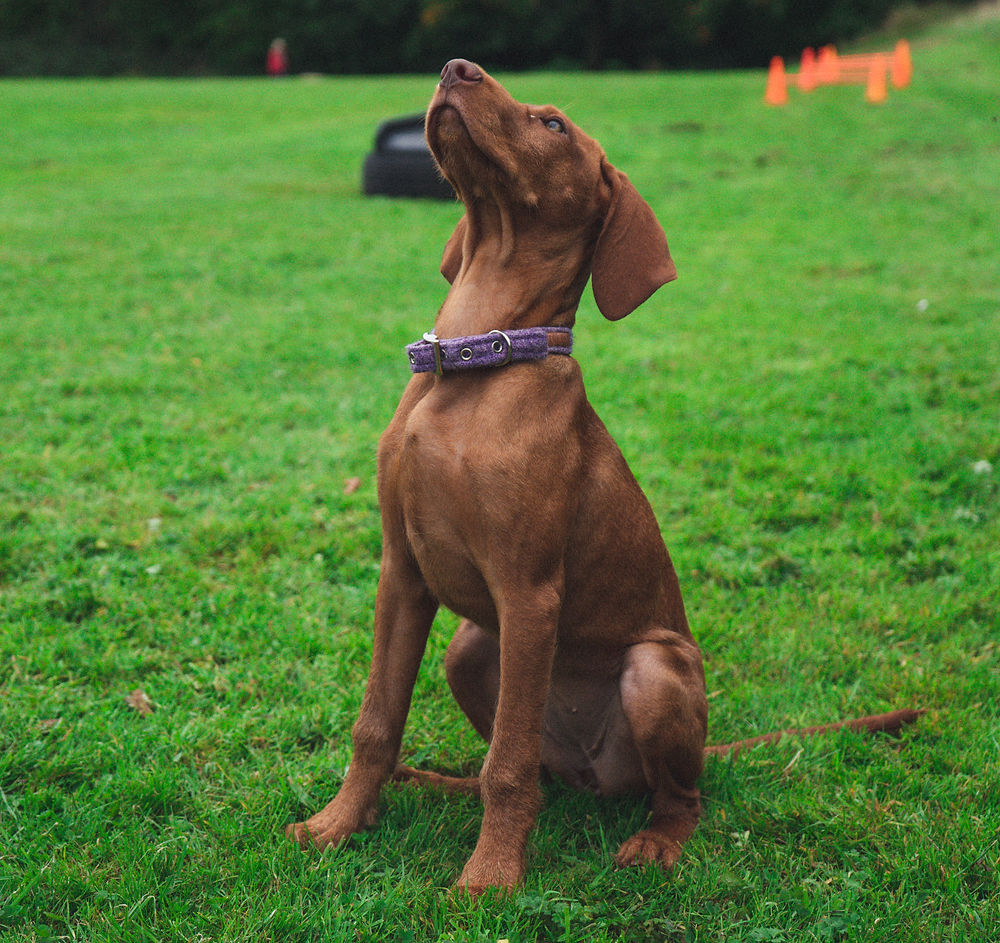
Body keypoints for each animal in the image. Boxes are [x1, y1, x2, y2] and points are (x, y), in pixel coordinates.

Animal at [287, 59, 921, 895]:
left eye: (554, 125)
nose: (456, 67)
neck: (474, 360)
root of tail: (595, 773)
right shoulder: (403, 573)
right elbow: (376, 722)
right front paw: (337, 823)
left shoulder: (530, 592)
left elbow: (505, 766)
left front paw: (489, 878)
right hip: (471, 644)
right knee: (537, 768)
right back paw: (441, 783)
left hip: (653, 670)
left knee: (664, 790)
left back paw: (654, 841)